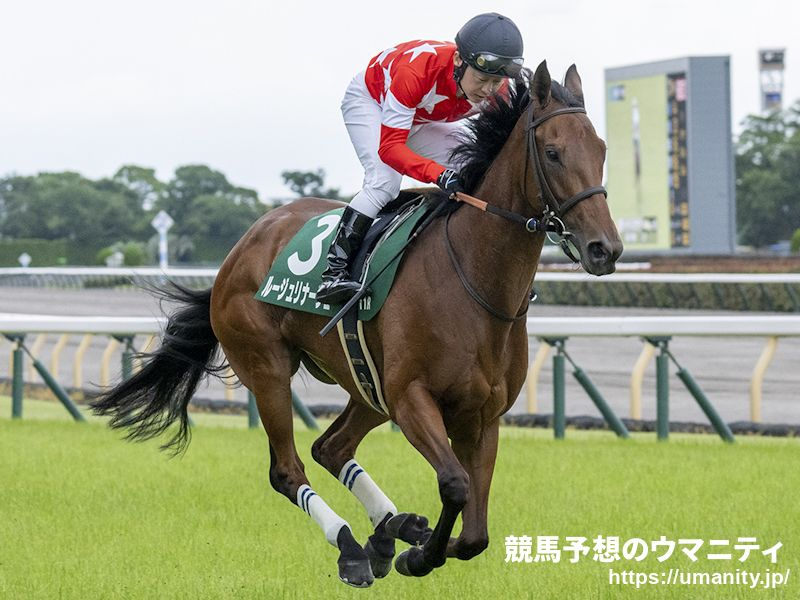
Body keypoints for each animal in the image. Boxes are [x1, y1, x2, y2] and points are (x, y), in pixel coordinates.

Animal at [90, 61, 620, 584]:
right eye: (552, 152)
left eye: (601, 149)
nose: (605, 249)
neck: (474, 282)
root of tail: (240, 248)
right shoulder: (411, 398)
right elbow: (455, 484)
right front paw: (419, 556)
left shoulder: (482, 416)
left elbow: (476, 535)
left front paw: (419, 543)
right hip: (269, 369)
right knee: (288, 469)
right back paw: (352, 546)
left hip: (366, 382)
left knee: (331, 447)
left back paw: (392, 529)